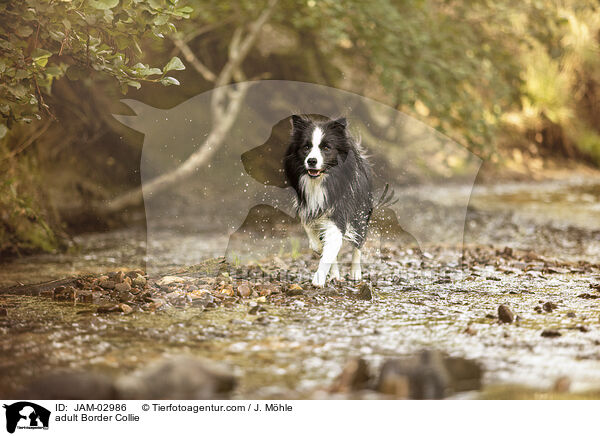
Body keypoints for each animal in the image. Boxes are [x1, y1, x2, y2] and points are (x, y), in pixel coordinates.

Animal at [284, 114, 372, 288]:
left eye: (326, 148)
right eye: (306, 147)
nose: (311, 161)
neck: (321, 181)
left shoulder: (338, 216)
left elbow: (331, 248)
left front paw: (318, 279)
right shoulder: (307, 207)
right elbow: (315, 239)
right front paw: (318, 247)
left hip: (360, 215)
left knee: (358, 244)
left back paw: (355, 273)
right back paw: (335, 274)